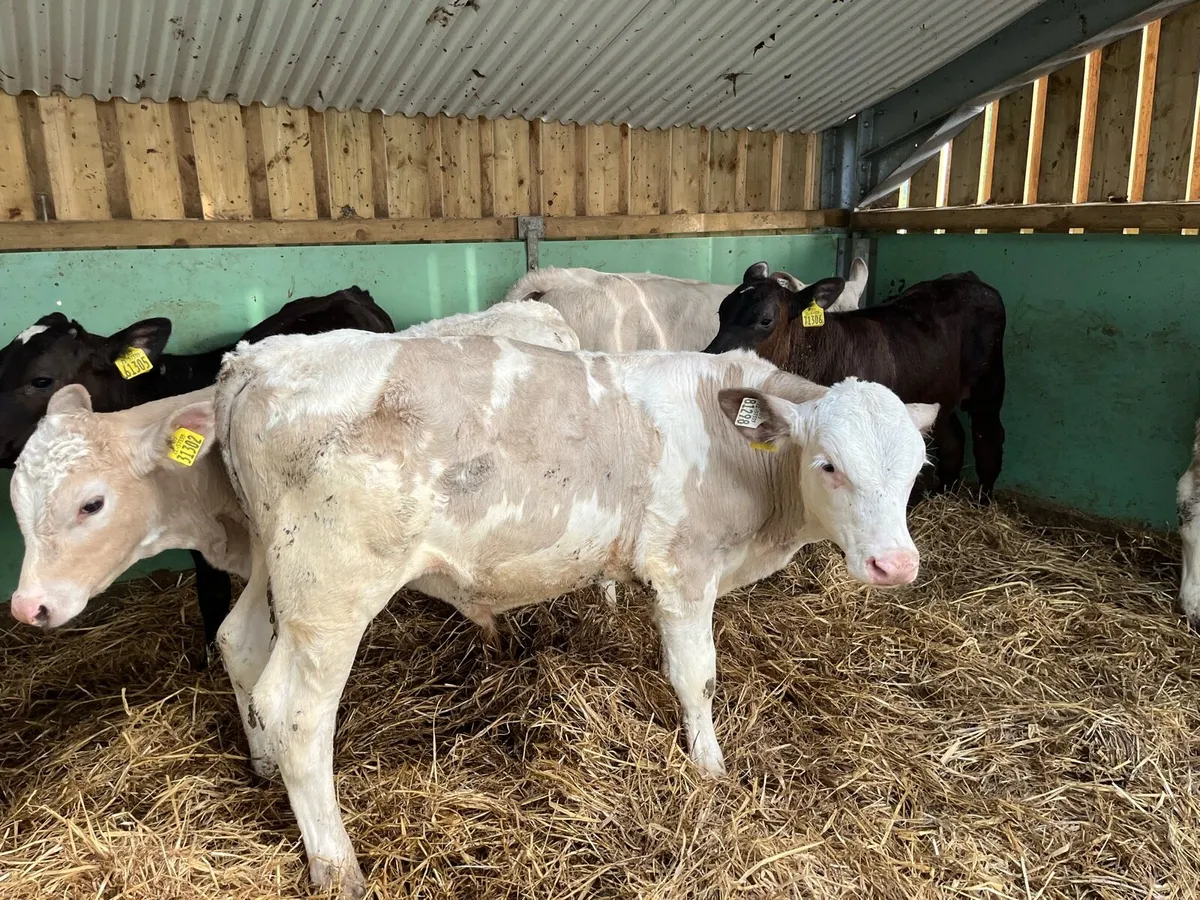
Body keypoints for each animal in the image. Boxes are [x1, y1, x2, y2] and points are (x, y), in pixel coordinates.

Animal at [155, 330, 937, 897]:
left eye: (916, 469)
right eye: (830, 464)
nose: (896, 565)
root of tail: (261, 356)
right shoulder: (684, 566)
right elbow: (697, 677)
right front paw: (711, 770)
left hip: (273, 560)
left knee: (240, 643)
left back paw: (260, 764)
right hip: (331, 591)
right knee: (297, 715)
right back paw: (336, 864)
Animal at [704, 263, 1006, 502]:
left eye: (766, 320)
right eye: (721, 311)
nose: (711, 355)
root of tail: (969, 278)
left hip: (989, 386)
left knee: (988, 437)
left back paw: (983, 499)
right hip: (941, 392)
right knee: (953, 437)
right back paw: (941, 492)